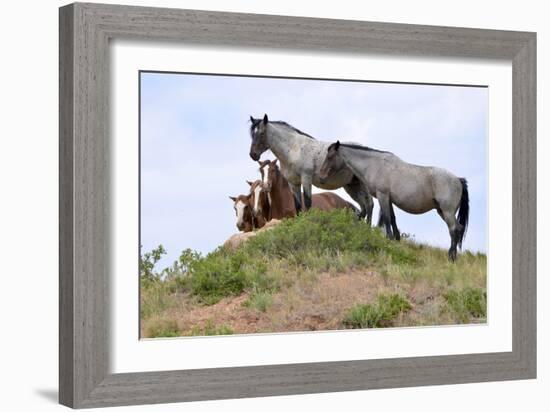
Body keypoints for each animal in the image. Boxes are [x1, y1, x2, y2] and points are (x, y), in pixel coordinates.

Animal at [322, 140, 472, 260]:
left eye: (330, 156)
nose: (322, 176)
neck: (375, 165)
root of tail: (458, 180)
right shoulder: (388, 198)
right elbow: (393, 218)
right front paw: (396, 238)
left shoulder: (382, 195)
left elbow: (387, 218)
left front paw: (389, 239)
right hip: (442, 211)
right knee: (458, 228)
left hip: (447, 211)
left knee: (453, 229)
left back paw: (451, 257)